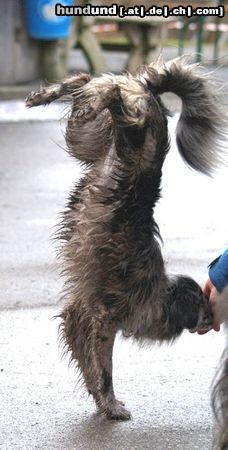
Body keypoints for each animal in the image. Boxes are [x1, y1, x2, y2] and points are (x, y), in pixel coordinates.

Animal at [26, 57, 226, 422]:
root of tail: (152, 95)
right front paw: (111, 403)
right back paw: (105, 98)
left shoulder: (78, 317)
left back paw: (45, 96)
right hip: (137, 135)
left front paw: (100, 399)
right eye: (201, 304)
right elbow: (105, 370)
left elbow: (88, 364)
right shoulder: (106, 320)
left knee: (86, 82)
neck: (162, 291)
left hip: (85, 138)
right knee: (118, 99)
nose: (211, 318)